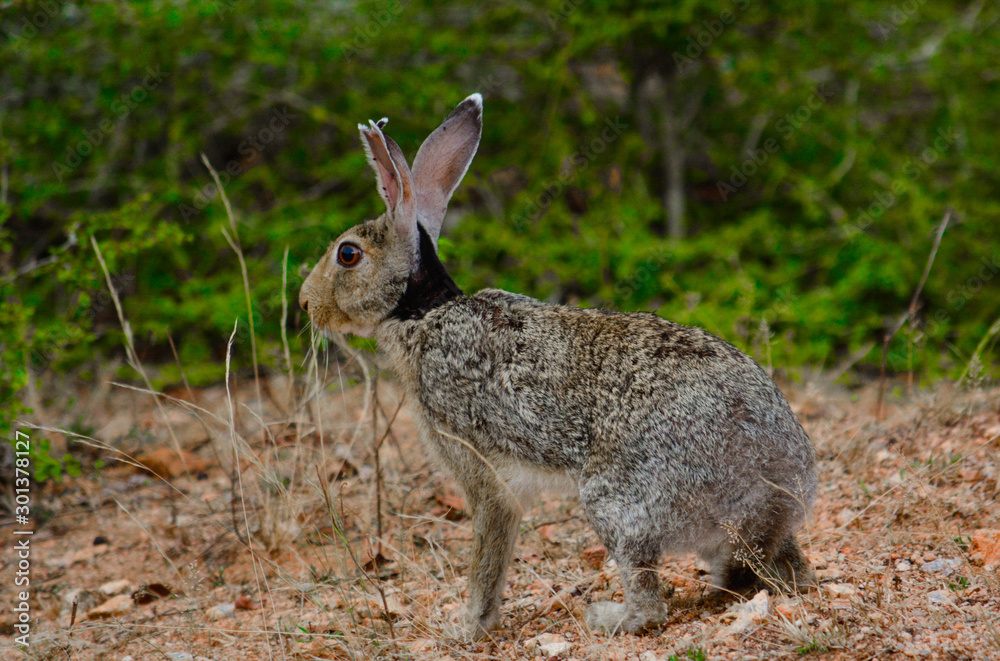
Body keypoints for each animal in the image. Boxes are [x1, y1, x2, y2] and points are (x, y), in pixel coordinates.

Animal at [299, 93, 817, 639]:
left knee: (649, 602)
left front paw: (468, 629)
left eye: (348, 254)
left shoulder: (480, 471)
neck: (423, 311)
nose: (306, 303)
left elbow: (489, 555)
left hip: (616, 500)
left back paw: (608, 616)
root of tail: (774, 491)